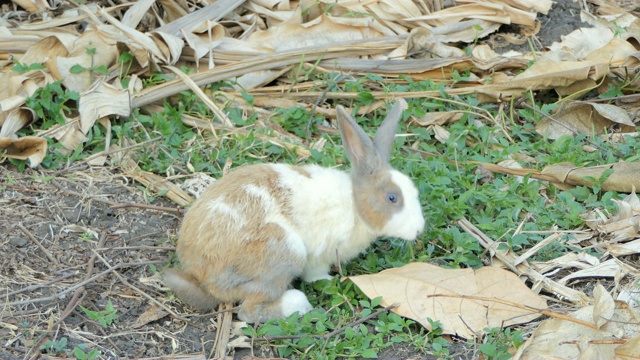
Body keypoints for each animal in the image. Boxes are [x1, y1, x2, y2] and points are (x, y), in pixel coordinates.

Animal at [164, 99, 424, 324]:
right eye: (392, 197)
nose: (419, 229)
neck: (355, 205)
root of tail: (199, 273)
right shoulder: (320, 254)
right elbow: (315, 274)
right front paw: (328, 280)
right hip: (284, 252)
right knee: (248, 311)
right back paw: (298, 304)